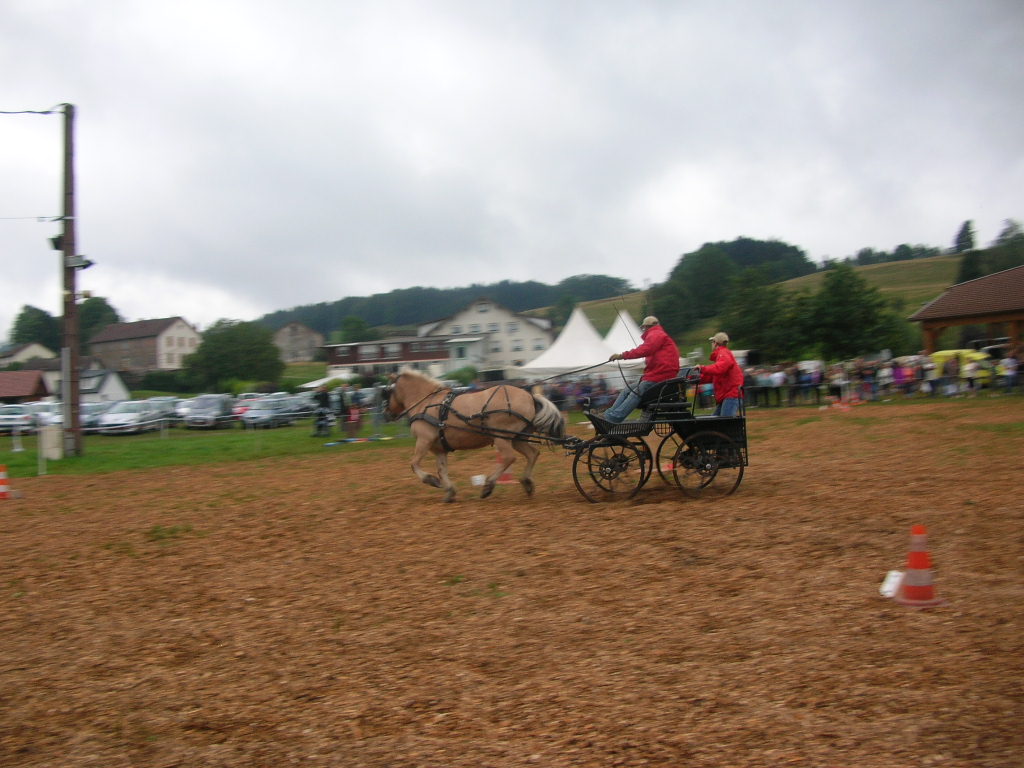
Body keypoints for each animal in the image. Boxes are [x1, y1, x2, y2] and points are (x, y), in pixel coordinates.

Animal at [383, 369, 566, 502]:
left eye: (387, 392)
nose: (386, 414)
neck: (426, 403)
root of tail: (530, 396)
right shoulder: (439, 448)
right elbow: (442, 470)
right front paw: (449, 492)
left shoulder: (424, 441)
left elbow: (414, 464)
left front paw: (432, 481)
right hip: (517, 438)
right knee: (532, 453)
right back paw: (527, 482)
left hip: (502, 437)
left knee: (509, 457)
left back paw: (488, 486)